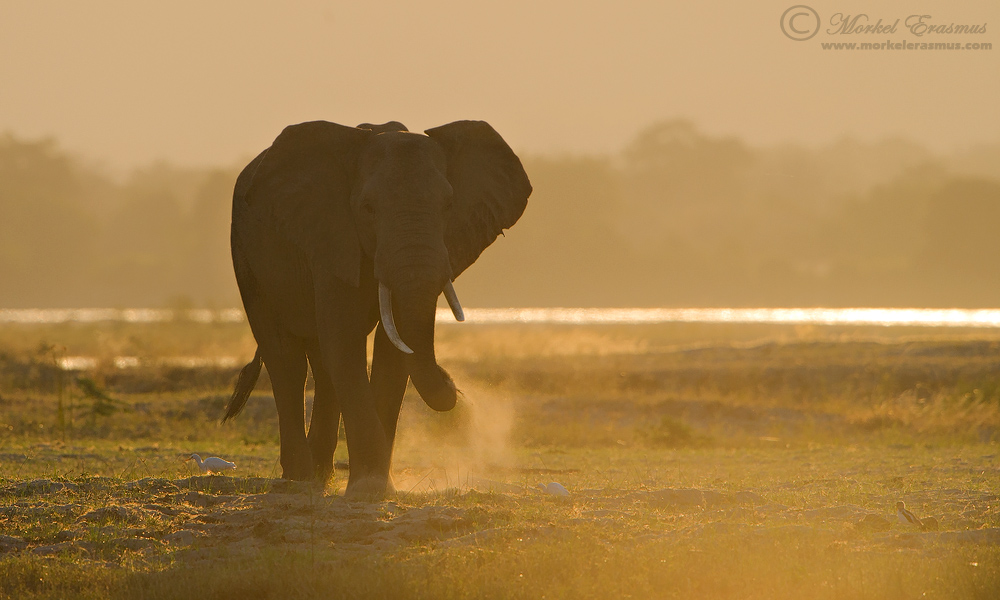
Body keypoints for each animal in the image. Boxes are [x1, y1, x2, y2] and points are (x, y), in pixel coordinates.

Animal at [222, 119, 531, 496]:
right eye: (368, 208)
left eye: (448, 205)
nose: (456, 387)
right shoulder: (331, 237)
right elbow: (344, 339)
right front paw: (368, 488)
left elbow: (392, 351)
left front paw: (381, 487)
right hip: (245, 255)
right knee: (286, 358)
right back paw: (300, 479)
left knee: (321, 364)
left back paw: (321, 476)